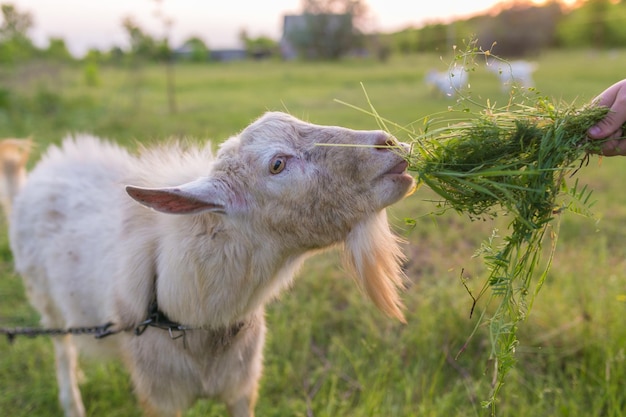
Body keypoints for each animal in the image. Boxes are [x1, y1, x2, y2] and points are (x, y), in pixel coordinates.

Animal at [0, 112, 414, 416]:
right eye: (277, 164)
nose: (390, 144)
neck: (192, 316)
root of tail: (37, 176)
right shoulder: (160, 398)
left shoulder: (242, 386)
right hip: (46, 299)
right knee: (62, 349)